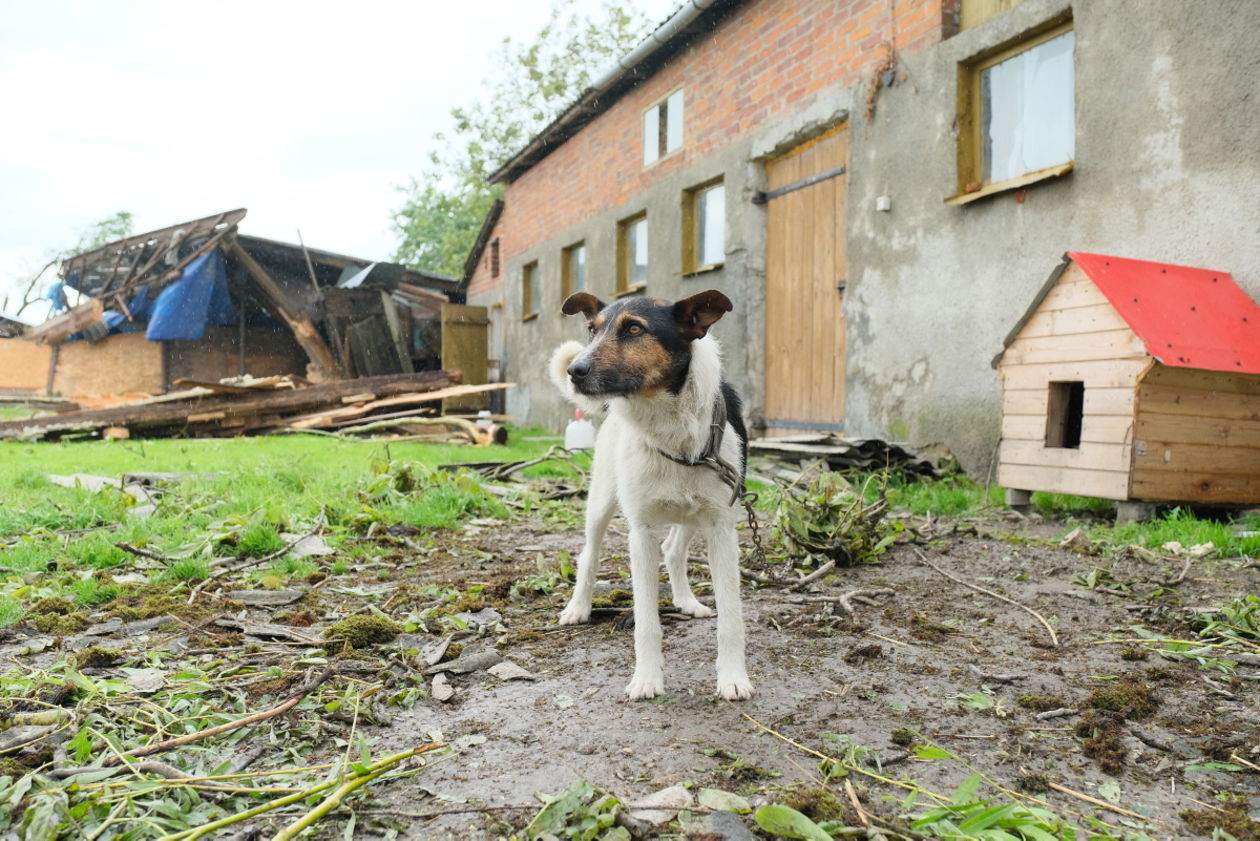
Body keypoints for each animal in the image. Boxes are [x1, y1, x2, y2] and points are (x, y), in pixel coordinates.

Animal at [549, 290, 745, 706]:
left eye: (634, 329)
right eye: (591, 330)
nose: (575, 370)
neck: (670, 430)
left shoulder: (722, 529)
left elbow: (731, 620)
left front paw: (734, 678)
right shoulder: (641, 534)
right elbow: (646, 622)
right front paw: (647, 679)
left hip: (692, 514)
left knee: (674, 551)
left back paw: (687, 602)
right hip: (601, 504)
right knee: (589, 555)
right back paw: (578, 607)